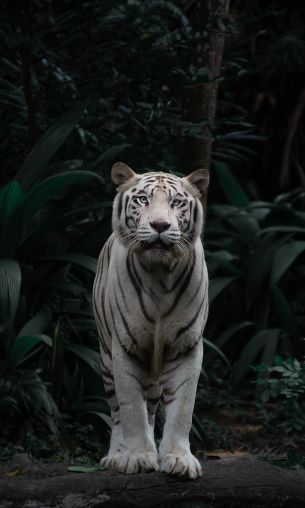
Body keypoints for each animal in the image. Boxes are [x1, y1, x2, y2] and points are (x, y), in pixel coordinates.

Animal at [91, 164, 208, 480]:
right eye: (143, 199)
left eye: (176, 203)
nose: (159, 225)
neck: (160, 275)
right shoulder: (124, 348)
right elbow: (131, 408)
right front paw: (138, 457)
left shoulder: (186, 347)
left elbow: (183, 408)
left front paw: (179, 459)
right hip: (106, 358)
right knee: (117, 411)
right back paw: (116, 456)